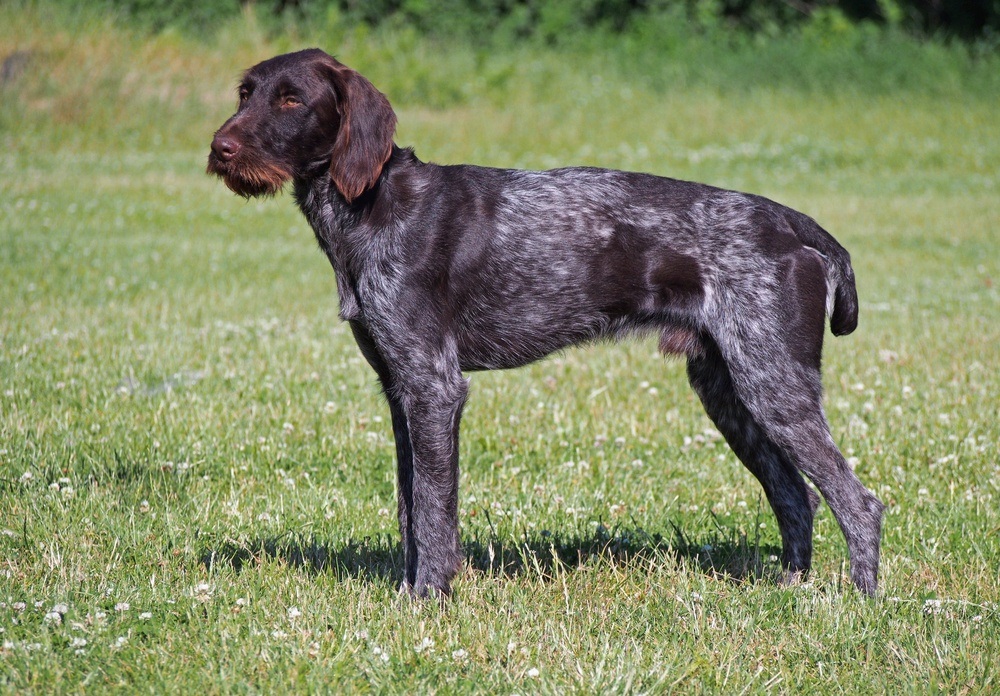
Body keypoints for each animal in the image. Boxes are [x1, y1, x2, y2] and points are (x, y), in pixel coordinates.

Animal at [205, 49, 884, 600]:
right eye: (245, 92)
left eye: (292, 99)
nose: (219, 148)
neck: (371, 204)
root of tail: (793, 224)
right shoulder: (400, 390)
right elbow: (409, 507)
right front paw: (408, 591)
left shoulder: (434, 386)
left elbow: (432, 509)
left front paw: (428, 599)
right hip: (730, 390)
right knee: (796, 495)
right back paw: (791, 590)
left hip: (772, 384)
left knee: (859, 503)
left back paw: (859, 602)